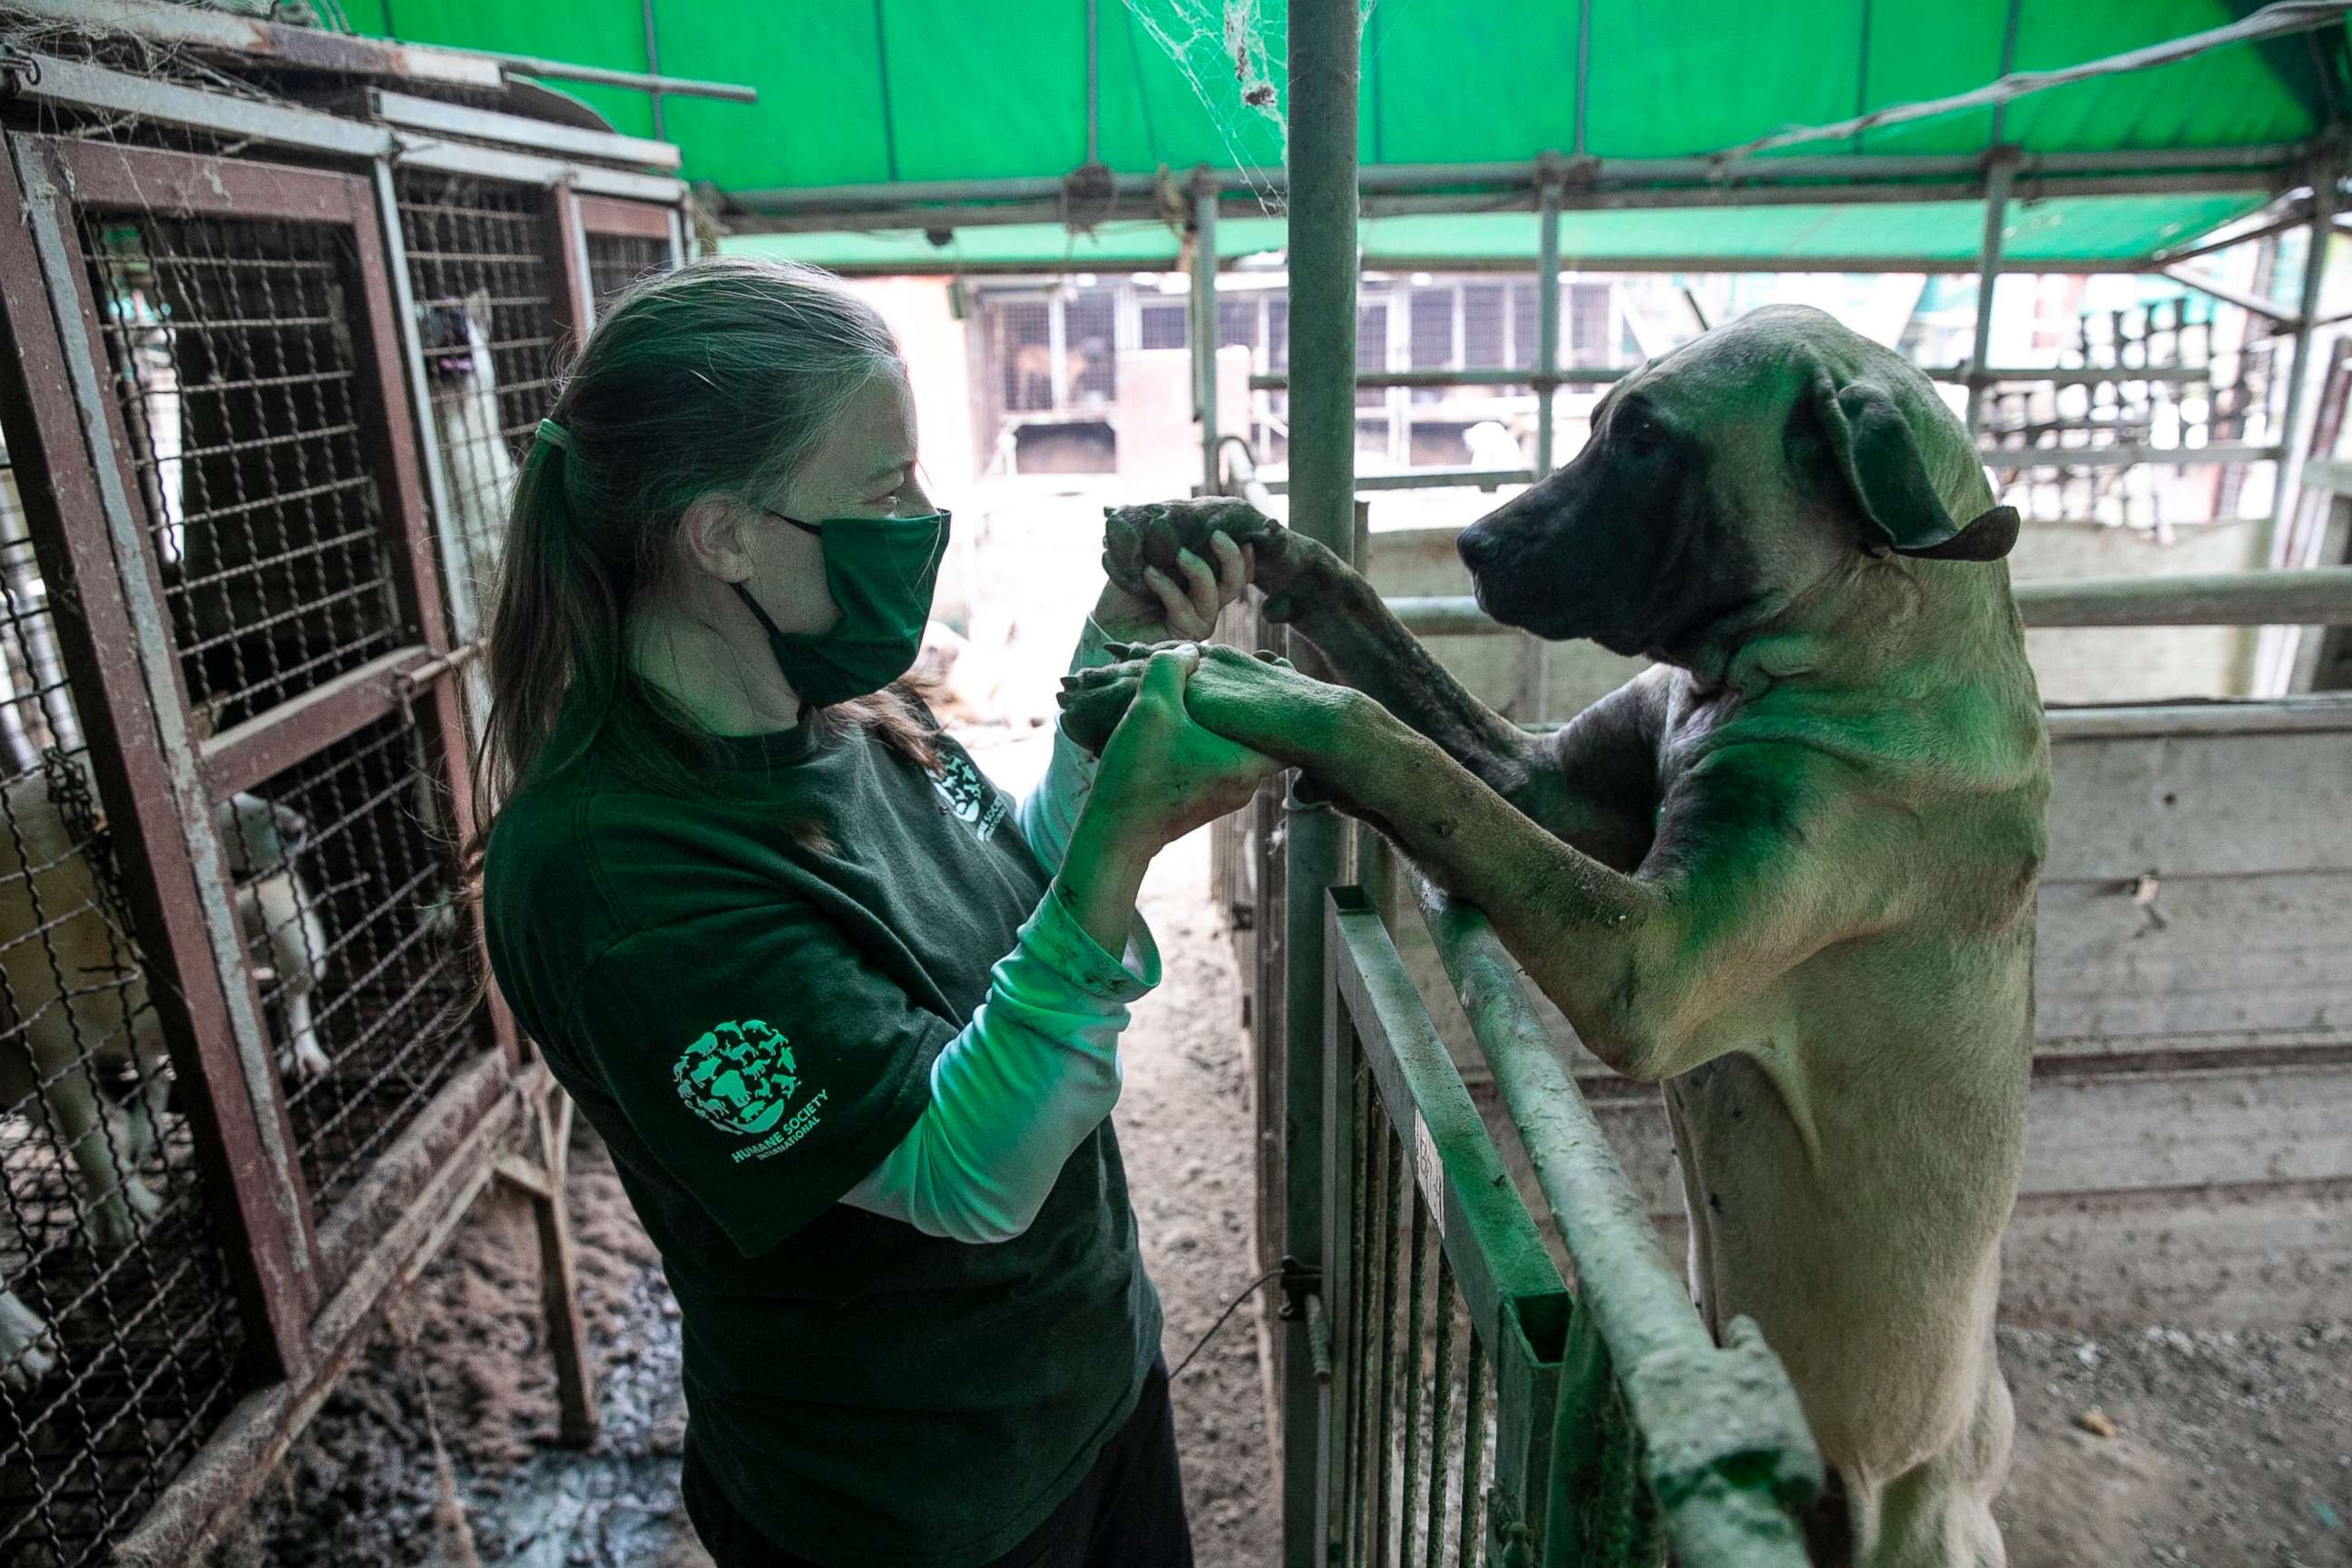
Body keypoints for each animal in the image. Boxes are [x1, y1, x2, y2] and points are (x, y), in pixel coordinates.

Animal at [1077, 300, 2051, 1561]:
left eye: (1645, 439)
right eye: (1601, 420)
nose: (1474, 544)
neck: (1851, 634)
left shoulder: (1643, 957)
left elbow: (1400, 747)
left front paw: (1237, 681)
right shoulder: (1545, 783)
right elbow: (1406, 685)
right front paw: (1232, 530)